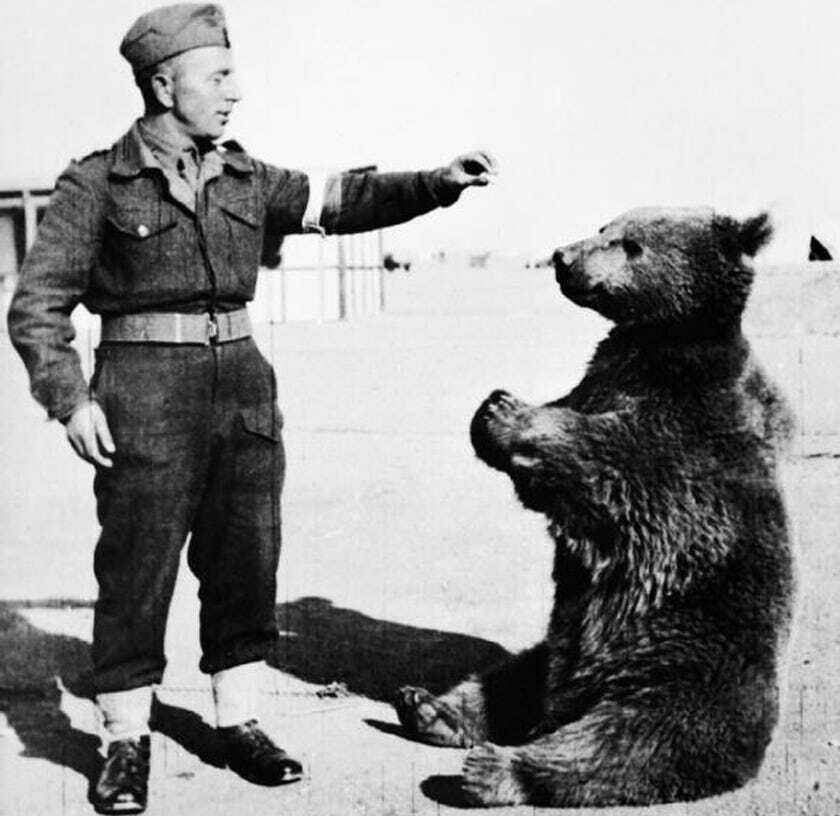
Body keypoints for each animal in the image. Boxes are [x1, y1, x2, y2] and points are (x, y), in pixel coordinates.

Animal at [394, 207, 796, 808]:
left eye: (631, 243)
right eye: (605, 225)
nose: (563, 256)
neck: (660, 340)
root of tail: (571, 698)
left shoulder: (684, 427)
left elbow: (606, 461)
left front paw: (508, 412)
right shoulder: (600, 377)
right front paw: (493, 405)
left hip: (683, 666)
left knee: (630, 739)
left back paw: (494, 769)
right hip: (554, 649)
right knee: (507, 679)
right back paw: (428, 707)